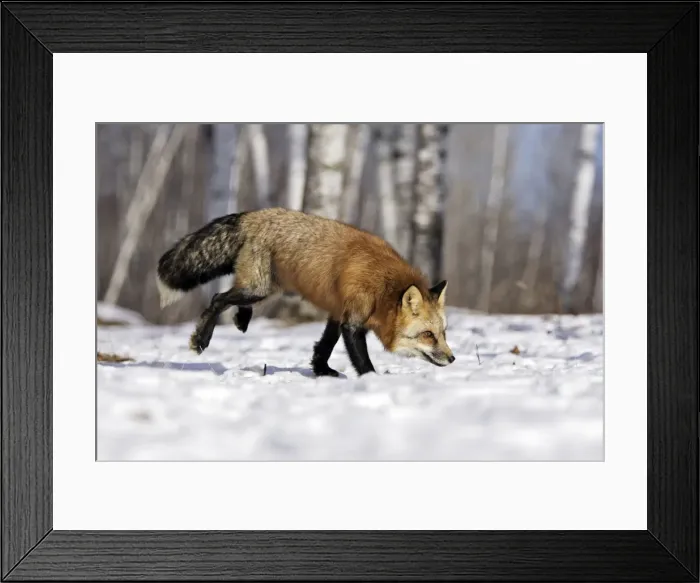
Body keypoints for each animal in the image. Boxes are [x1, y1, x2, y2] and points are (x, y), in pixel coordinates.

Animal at [156, 207, 455, 377]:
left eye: (443, 333)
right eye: (428, 335)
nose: (452, 358)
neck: (382, 288)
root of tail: (255, 214)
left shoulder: (338, 310)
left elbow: (324, 346)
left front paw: (322, 371)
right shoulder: (353, 321)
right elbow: (361, 359)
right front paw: (371, 380)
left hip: (263, 288)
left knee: (233, 298)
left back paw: (242, 318)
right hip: (258, 288)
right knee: (218, 298)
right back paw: (201, 339)